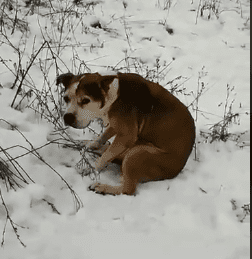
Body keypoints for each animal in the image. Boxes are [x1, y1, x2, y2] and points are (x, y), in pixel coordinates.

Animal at [56, 72, 196, 196]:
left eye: (86, 100)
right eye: (65, 98)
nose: (67, 117)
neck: (113, 95)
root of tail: (177, 170)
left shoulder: (126, 136)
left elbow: (105, 157)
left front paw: (91, 169)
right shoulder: (115, 126)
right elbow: (104, 136)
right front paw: (92, 144)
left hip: (137, 154)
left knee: (128, 190)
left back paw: (103, 187)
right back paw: (80, 144)